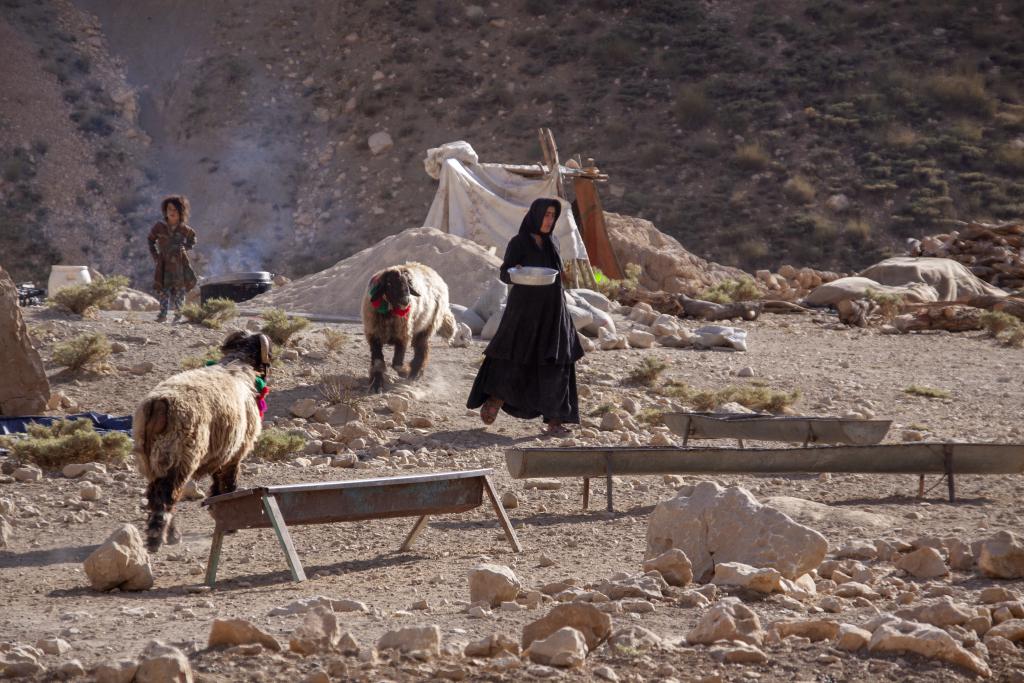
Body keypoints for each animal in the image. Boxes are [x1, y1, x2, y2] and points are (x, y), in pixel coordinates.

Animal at [133, 333, 272, 552]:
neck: (237, 364)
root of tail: (159, 404)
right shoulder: (235, 453)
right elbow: (228, 485)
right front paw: (232, 525)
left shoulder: (221, 451)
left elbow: (217, 485)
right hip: (176, 456)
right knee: (166, 497)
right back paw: (159, 538)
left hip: (150, 458)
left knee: (156, 496)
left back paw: (169, 535)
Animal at [362, 260, 454, 393]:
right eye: (389, 283)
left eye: (407, 283)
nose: (406, 301)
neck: (389, 312)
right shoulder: (374, 336)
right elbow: (378, 362)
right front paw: (376, 384)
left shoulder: (403, 336)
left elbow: (397, 364)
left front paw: (405, 372)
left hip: (426, 327)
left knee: (422, 349)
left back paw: (415, 373)